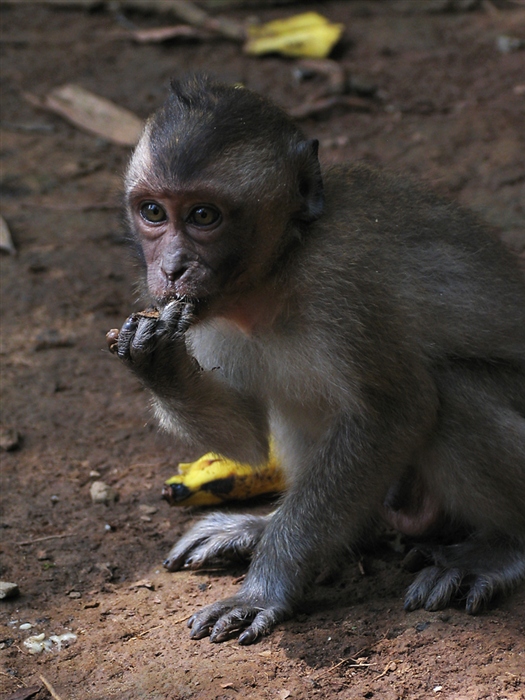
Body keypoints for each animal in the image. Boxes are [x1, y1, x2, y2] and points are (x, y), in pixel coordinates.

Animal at [108, 74, 524, 644]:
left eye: (203, 216)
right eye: (153, 212)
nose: (171, 268)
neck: (275, 273)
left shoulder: (341, 284)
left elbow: (396, 411)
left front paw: (265, 588)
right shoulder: (207, 316)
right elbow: (245, 436)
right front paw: (153, 356)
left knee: (454, 393)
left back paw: (501, 548)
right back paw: (274, 528)